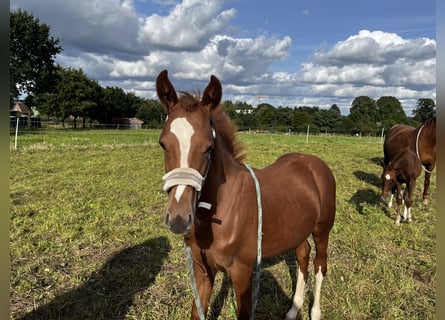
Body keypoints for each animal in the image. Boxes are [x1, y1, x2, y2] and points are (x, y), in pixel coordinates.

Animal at [157, 70, 336, 320]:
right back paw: (293, 310)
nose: (179, 219)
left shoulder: (242, 274)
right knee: (303, 255)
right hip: (297, 228)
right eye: (163, 144)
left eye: (209, 147)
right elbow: (197, 312)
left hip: (322, 229)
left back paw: (314, 312)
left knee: (320, 265)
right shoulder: (202, 270)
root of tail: (315, 164)